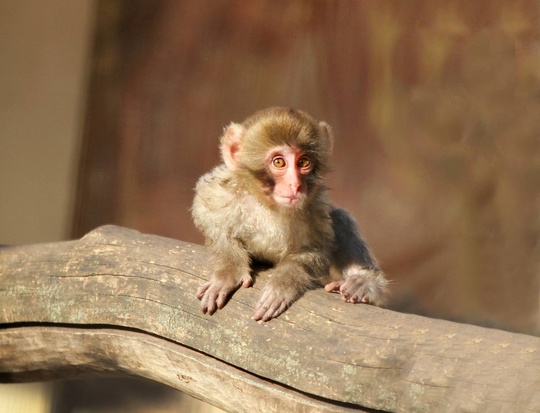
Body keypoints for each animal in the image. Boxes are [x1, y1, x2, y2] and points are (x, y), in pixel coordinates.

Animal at [192, 105, 386, 318]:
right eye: (279, 162)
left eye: (303, 162)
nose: (295, 184)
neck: (269, 205)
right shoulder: (226, 190)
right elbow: (207, 213)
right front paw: (229, 271)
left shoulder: (315, 207)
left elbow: (315, 249)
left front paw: (282, 284)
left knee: (340, 217)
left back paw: (362, 282)